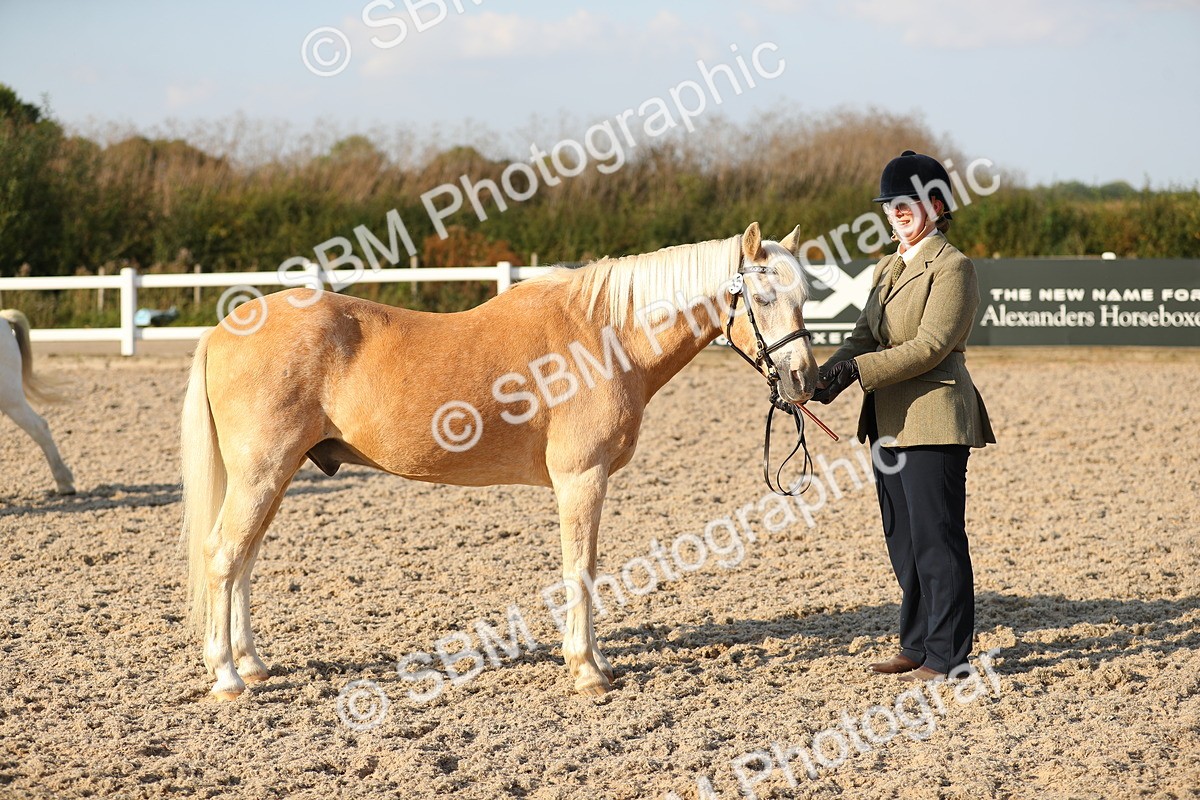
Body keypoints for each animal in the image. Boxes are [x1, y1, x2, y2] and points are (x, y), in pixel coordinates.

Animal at [182, 222, 817, 701]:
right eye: (763, 298)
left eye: (805, 298)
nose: (803, 380)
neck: (604, 335)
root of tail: (222, 329)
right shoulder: (581, 479)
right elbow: (581, 570)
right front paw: (587, 671)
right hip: (262, 474)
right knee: (224, 556)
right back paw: (227, 677)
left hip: (274, 477)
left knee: (243, 562)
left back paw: (253, 665)